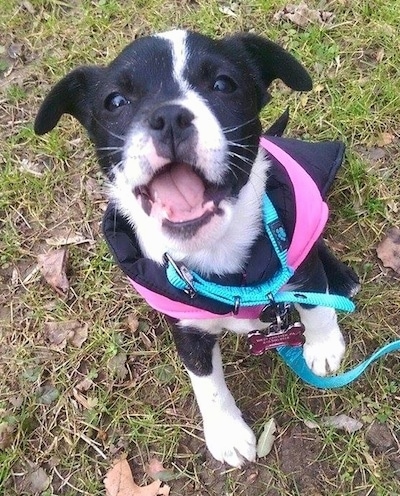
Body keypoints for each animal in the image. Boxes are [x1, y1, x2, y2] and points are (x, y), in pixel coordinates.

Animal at [35, 29, 360, 466]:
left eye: (222, 84)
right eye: (115, 101)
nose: (169, 117)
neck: (218, 252)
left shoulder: (299, 259)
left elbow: (314, 304)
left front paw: (324, 346)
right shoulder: (185, 323)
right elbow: (206, 382)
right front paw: (226, 431)